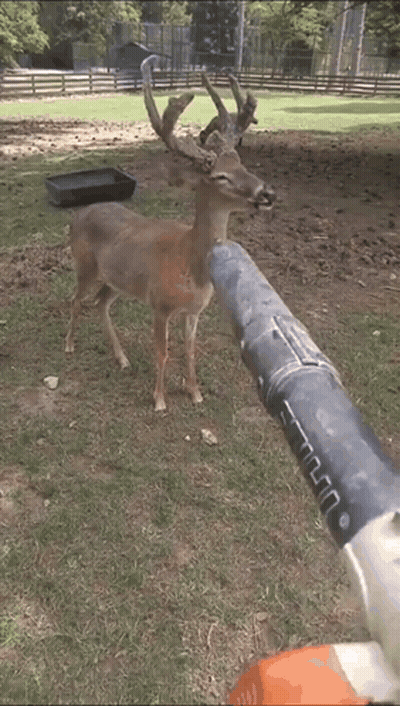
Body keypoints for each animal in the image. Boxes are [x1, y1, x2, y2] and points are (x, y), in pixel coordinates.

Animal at [65, 56, 275, 411]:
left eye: (241, 163)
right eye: (220, 176)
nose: (267, 193)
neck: (191, 266)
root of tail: (79, 215)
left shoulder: (195, 310)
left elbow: (189, 351)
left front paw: (195, 392)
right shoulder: (160, 304)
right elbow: (162, 352)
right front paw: (160, 400)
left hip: (117, 280)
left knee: (100, 303)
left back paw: (122, 358)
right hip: (85, 265)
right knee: (76, 300)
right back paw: (68, 345)